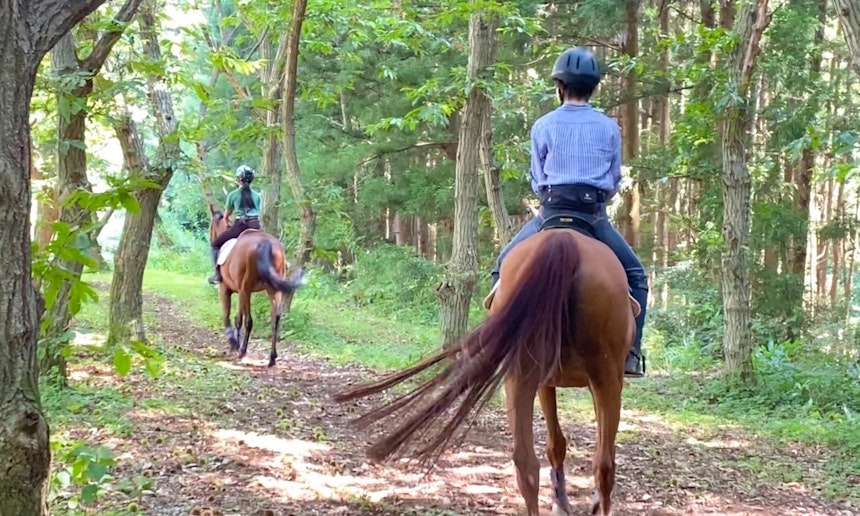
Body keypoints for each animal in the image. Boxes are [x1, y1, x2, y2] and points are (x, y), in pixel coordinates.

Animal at [207, 206, 304, 366]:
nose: (211, 239)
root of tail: (265, 243)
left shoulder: (226, 289)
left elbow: (228, 317)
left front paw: (234, 344)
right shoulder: (241, 292)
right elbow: (237, 318)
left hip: (246, 289)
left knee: (249, 321)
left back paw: (243, 351)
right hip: (273, 290)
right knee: (275, 319)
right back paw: (272, 357)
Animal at [332, 228, 640, 516]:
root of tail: (563, 239)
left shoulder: (549, 382)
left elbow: (556, 445)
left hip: (525, 375)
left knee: (527, 463)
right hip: (605, 380)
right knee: (603, 465)